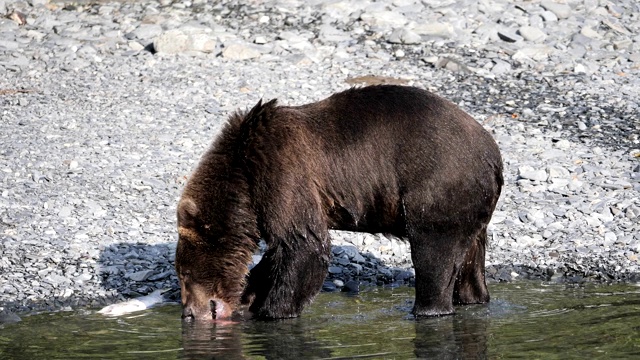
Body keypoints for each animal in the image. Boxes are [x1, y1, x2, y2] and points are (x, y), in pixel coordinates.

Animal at [176, 85, 504, 320]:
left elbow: (304, 245)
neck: (244, 177)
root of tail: (493, 154)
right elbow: (279, 253)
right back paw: (474, 298)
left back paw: (427, 308)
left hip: (437, 187)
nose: (188, 312)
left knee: (433, 255)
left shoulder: (284, 171)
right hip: (471, 207)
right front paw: (251, 294)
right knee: (470, 261)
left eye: (184, 274)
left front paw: (273, 310)